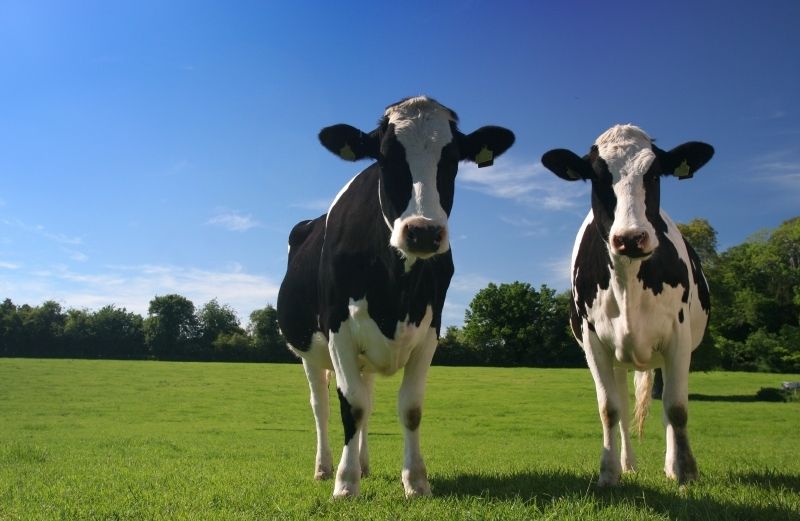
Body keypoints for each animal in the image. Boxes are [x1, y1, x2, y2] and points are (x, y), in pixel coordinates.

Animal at [276, 95, 512, 498]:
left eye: (452, 159)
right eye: (385, 157)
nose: (423, 232)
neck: (396, 291)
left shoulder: (430, 329)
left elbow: (409, 408)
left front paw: (415, 481)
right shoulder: (338, 329)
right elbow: (350, 406)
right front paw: (345, 484)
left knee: (367, 399)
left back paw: (364, 464)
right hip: (308, 351)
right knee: (322, 405)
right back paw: (325, 468)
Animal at [544, 124, 712, 486]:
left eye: (655, 174)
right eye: (596, 176)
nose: (631, 238)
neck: (629, 285)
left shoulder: (679, 337)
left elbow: (677, 407)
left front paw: (685, 471)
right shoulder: (593, 341)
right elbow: (609, 409)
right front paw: (608, 473)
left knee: (665, 405)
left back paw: (669, 465)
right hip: (620, 359)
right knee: (622, 405)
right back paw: (628, 464)